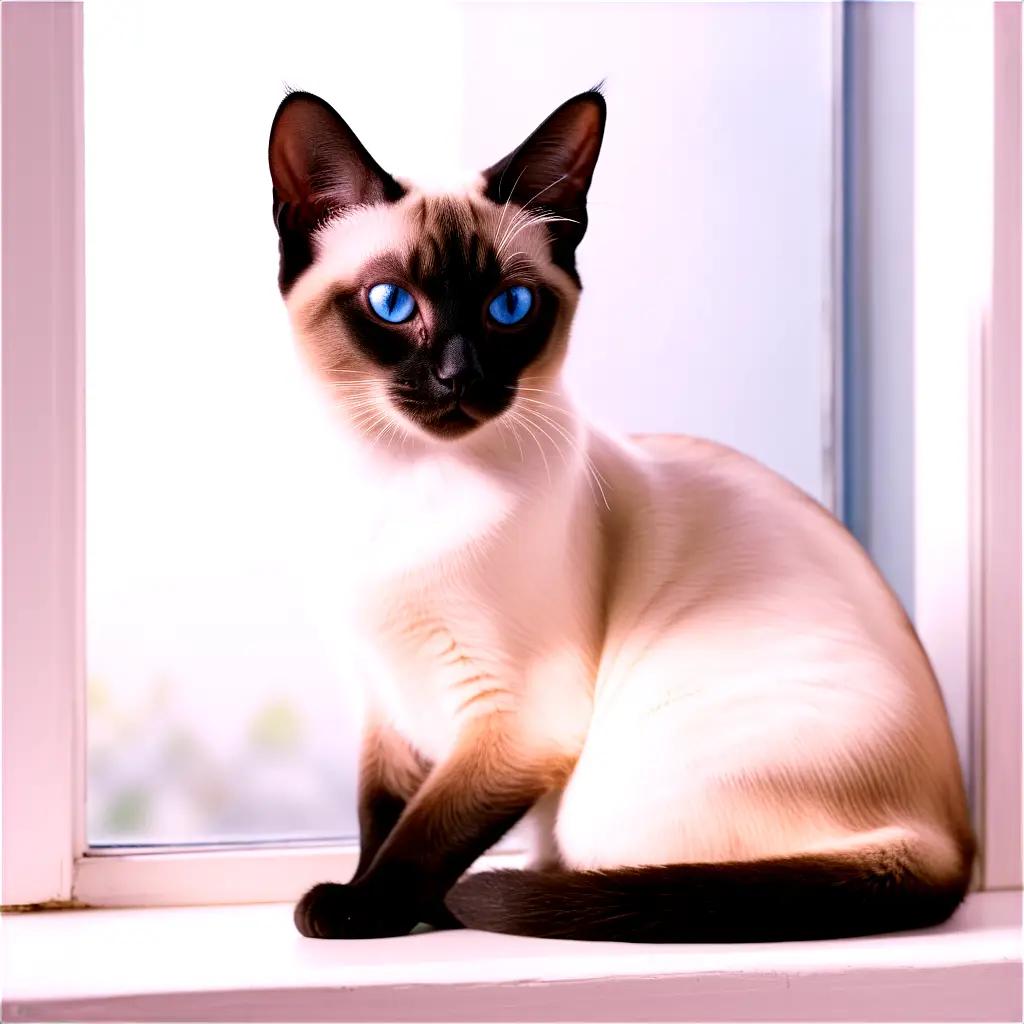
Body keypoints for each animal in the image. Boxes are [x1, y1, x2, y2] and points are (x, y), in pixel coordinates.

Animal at [268, 90, 970, 942]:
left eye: (510, 308)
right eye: (394, 304)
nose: (459, 378)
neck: (399, 479)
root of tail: (951, 841)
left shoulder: (519, 723)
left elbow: (424, 834)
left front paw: (359, 910)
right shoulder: (387, 703)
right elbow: (382, 816)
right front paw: (368, 897)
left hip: (603, 802)